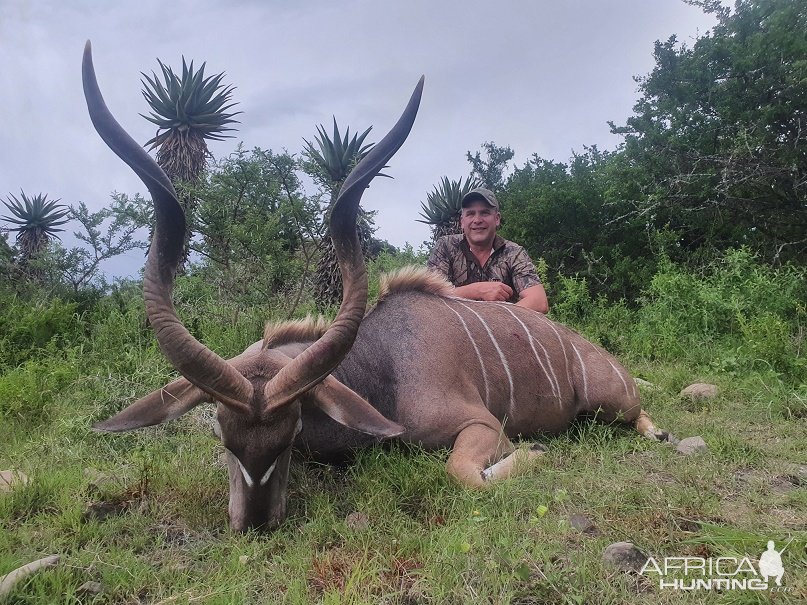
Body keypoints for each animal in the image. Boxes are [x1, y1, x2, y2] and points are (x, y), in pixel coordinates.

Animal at [83, 42, 668, 532]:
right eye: (221, 437)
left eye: (291, 434)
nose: (254, 524)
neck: (382, 366)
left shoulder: (481, 426)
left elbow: (463, 473)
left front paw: (537, 455)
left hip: (609, 402)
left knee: (637, 415)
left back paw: (660, 432)